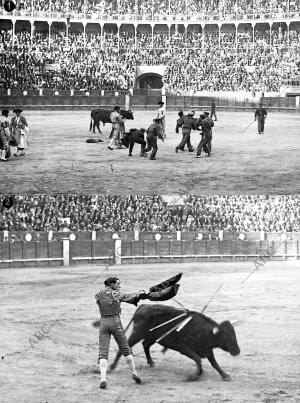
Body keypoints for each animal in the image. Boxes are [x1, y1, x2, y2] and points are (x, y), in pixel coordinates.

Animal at [106, 304, 240, 384]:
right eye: (226, 337)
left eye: (234, 334)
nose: (237, 351)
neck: (203, 331)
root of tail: (143, 306)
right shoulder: (183, 348)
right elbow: (198, 359)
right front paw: (194, 376)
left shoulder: (207, 349)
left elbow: (215, 364)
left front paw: (225, 376)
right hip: (137, 334)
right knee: (125, 347)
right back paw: (111, 367)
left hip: (153, 336)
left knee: (145, 345)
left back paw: (150, 362)